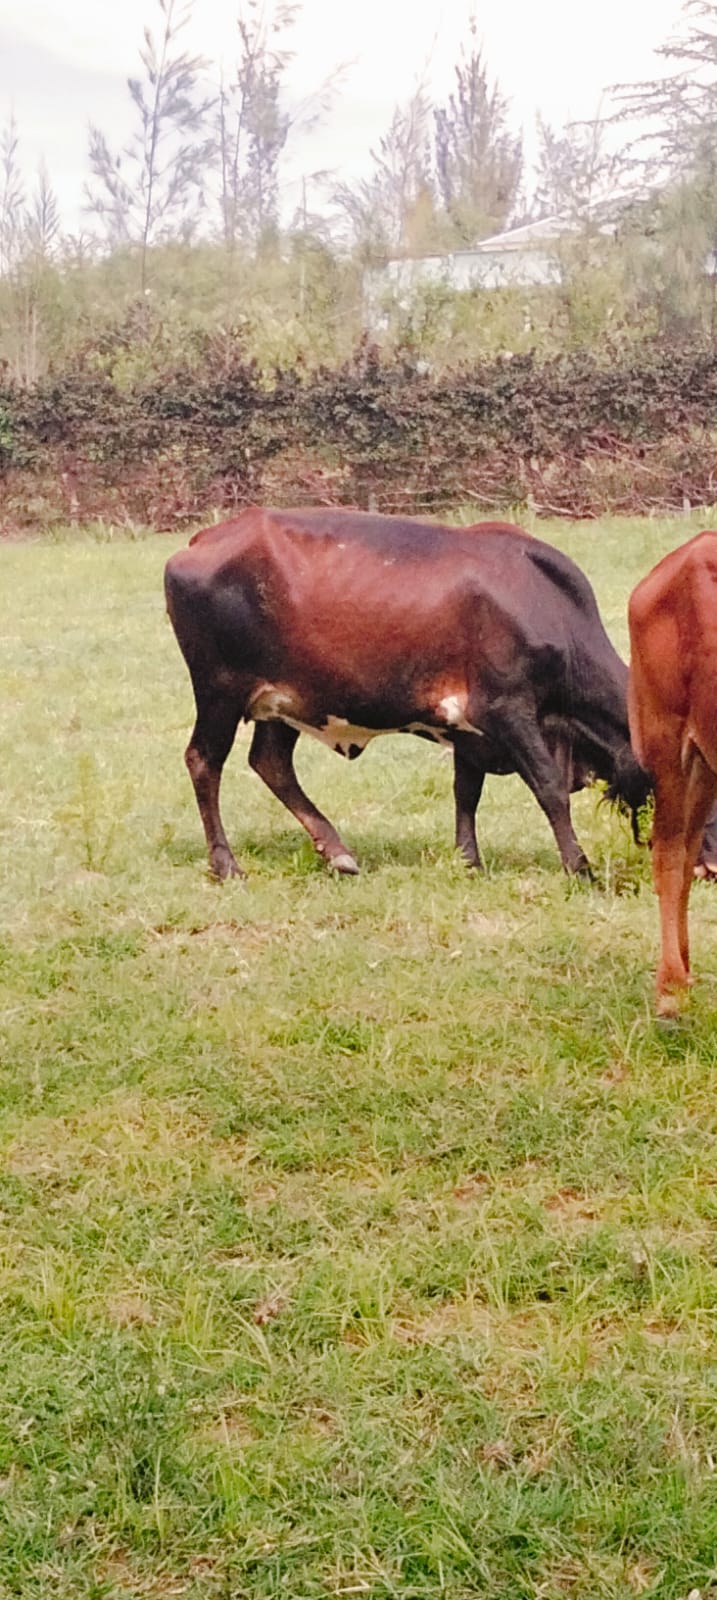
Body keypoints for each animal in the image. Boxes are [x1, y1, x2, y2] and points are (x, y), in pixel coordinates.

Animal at [164, 507, 651, 883]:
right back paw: (226, 865)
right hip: (220, 690)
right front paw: (580, 867)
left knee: (271, 763)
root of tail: (202, 539)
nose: (690, 866)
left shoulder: (469, 729)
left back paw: (338, 852)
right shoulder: (506, 709)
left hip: (289, 701)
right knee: (204, 761)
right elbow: (549, 787)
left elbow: (465, 792)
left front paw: (469, 861)